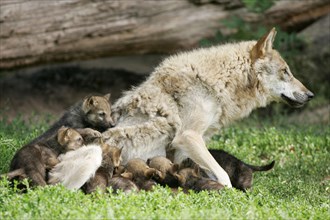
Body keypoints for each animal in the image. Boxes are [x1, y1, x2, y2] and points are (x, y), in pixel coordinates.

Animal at [102, 27, 314, 187]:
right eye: (286, 72)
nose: (310, 95)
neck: (215, 84)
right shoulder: (189, 137)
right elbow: (223, 176)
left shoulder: (187, 148)